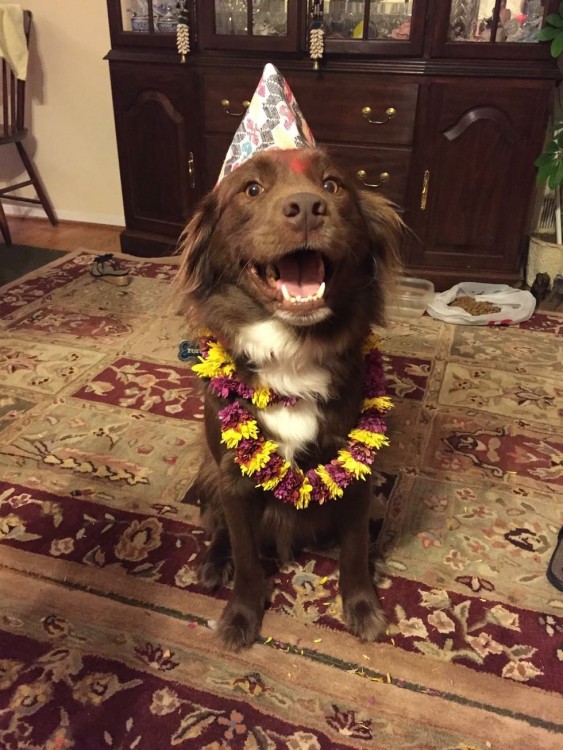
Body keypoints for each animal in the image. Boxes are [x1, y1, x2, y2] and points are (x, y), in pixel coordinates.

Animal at [178, 147, 404, 652]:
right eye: (251, 189)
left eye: (333, 185)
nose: (305, 207)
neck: (292, 354)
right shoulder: (233, 478)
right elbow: (245, 555)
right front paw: (241, 617)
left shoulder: (356, 471)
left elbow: (354, 548)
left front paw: (362, 607)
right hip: (208, 471)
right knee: (218, 526)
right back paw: (212, 563)